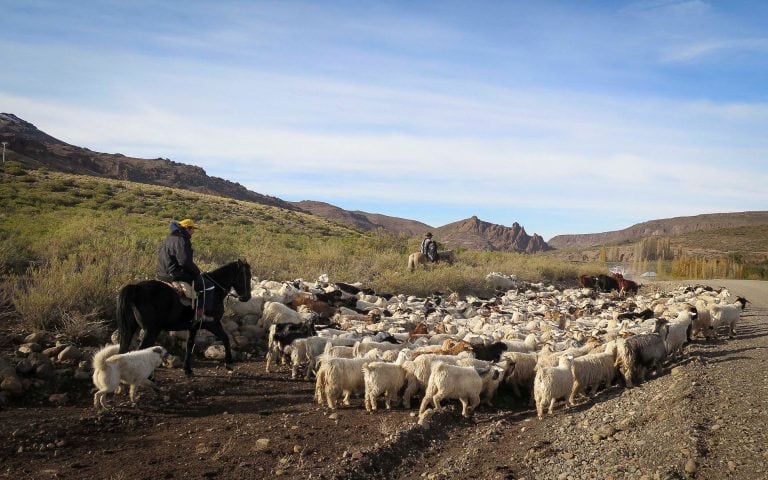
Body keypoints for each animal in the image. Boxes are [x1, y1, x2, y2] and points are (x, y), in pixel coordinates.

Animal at [115, 258, 252, 376]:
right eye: (246, 276)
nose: (247, 297)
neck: (215, 290)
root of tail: (136, 288)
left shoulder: (193, 327)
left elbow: (189, 345)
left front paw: (187, 369)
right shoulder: (212, 324)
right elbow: (225, 338)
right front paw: (229, 363)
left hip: (132, 329)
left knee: (124, 350)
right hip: (151, 331)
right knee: (140, 350)